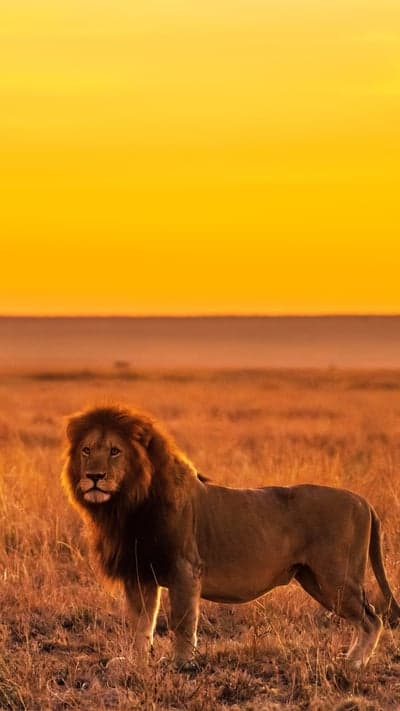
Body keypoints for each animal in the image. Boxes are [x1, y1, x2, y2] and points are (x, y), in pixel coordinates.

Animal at [61, 405, 400, 670]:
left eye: (115, 451)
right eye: (87, 450)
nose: (94, 477)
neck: (126, 506)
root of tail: (362, 500)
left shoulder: (184, 568)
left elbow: (182, 620)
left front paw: (181, 663)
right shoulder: (140, 572)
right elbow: (141, 622)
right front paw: (136, 662)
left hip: (335, 577)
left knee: (373, 619)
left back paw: (354, 663)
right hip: (314, 579)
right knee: (367, 618)